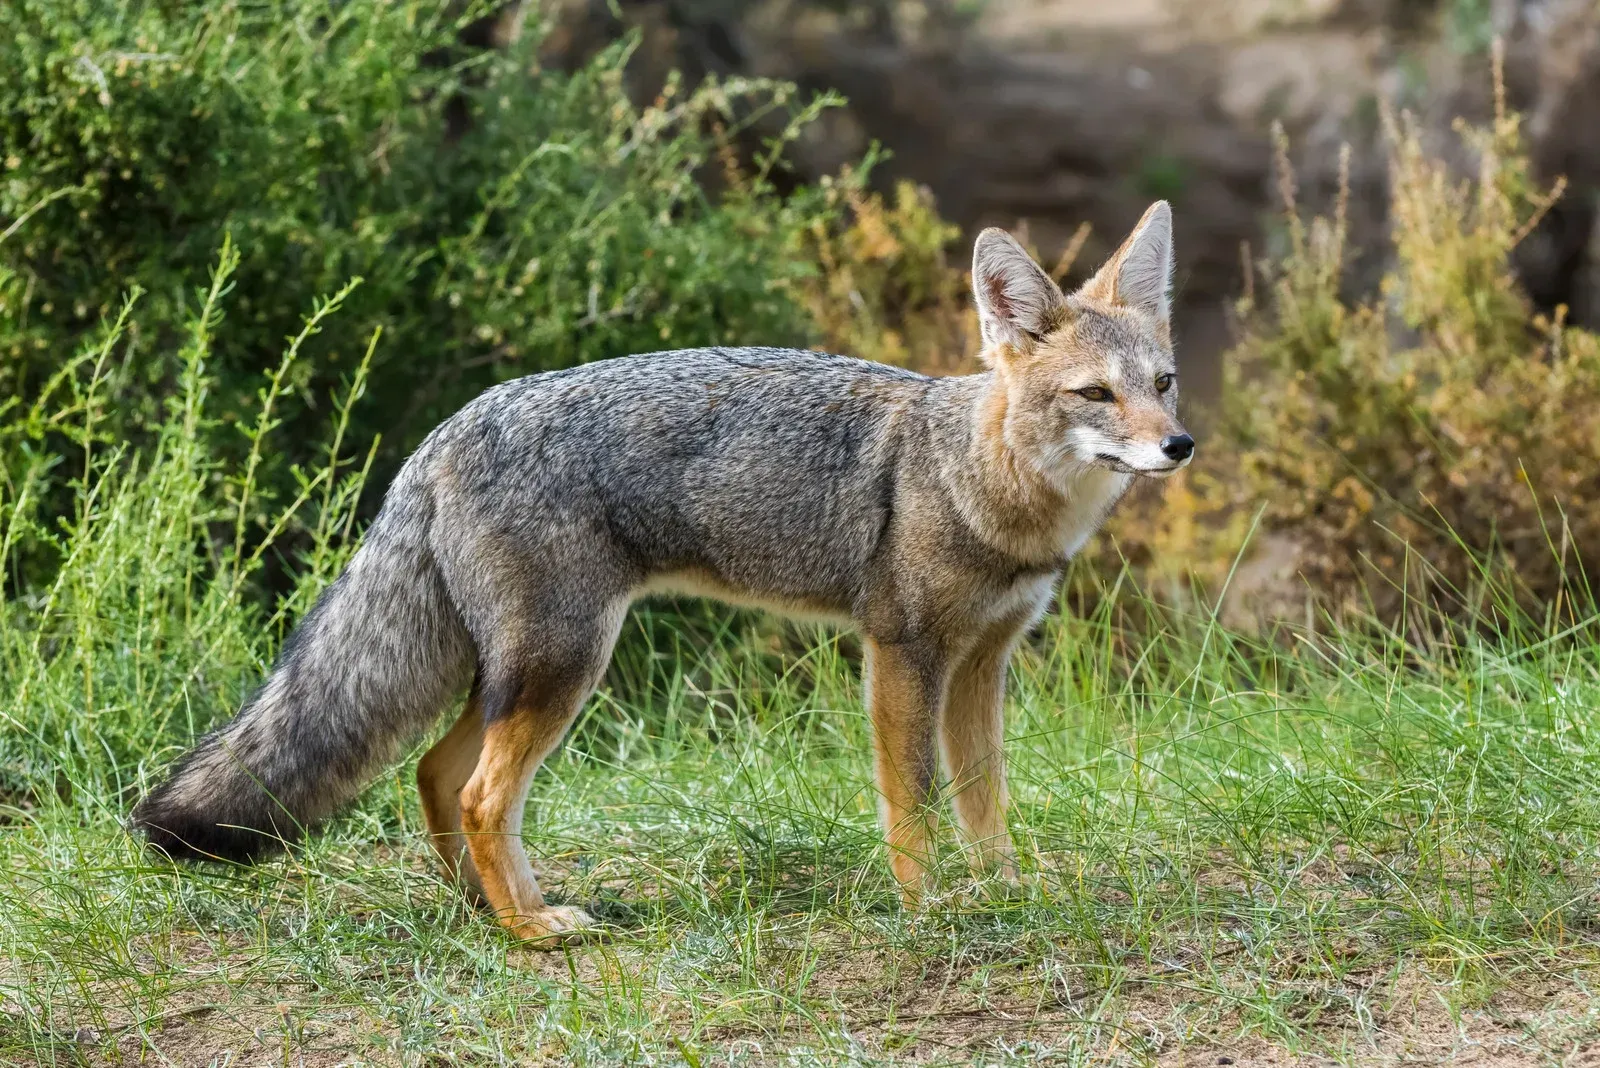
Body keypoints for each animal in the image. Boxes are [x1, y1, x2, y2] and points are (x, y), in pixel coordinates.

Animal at [131, 201, 1193, 943]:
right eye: (1095, 396)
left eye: (1163, 383)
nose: (1179, 445)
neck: (983, 485)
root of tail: (443, 433)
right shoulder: (902, 653)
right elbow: (915, 798)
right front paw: (929, 903)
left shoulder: (983, 662)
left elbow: (983, 796)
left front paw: (1006, 888)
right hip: (564, 665)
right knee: (478, 793)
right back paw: (530, 929)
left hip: (521, 671)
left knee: (437, 772)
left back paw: (479, 908)